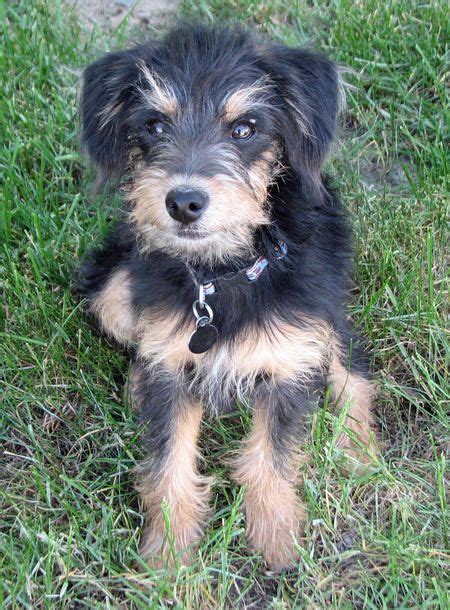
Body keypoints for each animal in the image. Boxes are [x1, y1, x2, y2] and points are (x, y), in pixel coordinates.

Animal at [77, 23, 376, 568]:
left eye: (245, 128)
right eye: (154, 125)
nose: (183, 202)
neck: (223, 272)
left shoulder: (289, 357)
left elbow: (271, 455)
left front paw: (275, 535)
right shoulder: (173, 360)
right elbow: (169, 462)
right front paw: (169, 555)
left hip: (326, 305)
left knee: (350, 364)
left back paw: (359, 447)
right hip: (112, 288)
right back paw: (136, 385)